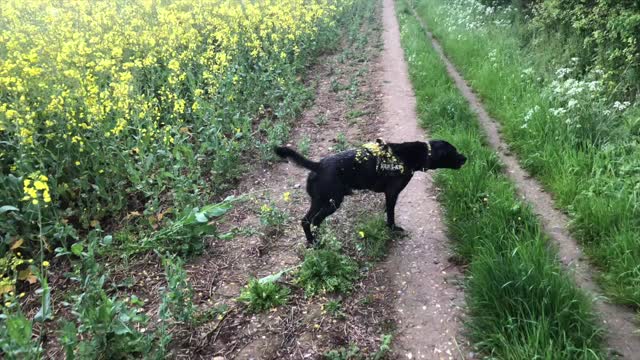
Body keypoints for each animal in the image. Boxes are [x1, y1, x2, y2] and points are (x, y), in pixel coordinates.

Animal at [274, 139, 464, 245]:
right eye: (454, 152)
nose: (466, 157)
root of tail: (318, 165)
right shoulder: (392, 193)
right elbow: (391, 215)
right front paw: (392, 229)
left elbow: (387, 211)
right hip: (332, 202)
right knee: (313, 221)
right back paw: (316, 242)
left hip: (319, 201)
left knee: (307, 221)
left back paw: (314, 239)